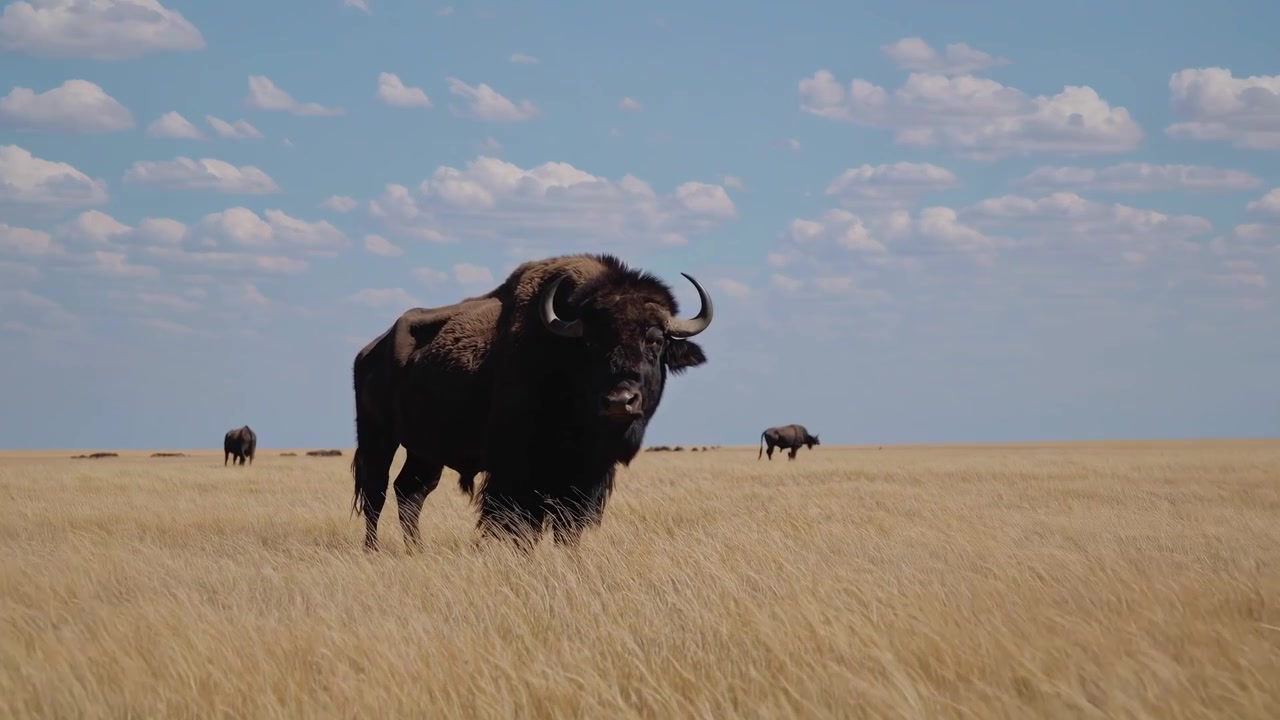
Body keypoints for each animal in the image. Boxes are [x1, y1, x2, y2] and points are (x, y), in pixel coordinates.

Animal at [350, 253, 714, 553]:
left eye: (655, 340)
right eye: (591, 342)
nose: (619, 401)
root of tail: (369, 351)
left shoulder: (583, 476)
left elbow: (567, 526)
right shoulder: (517, 471)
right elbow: (519, 522)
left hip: (425, 450)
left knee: (410, 492)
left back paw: (416, 548)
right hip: (378, 437)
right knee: (376, 493)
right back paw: (373, 549)